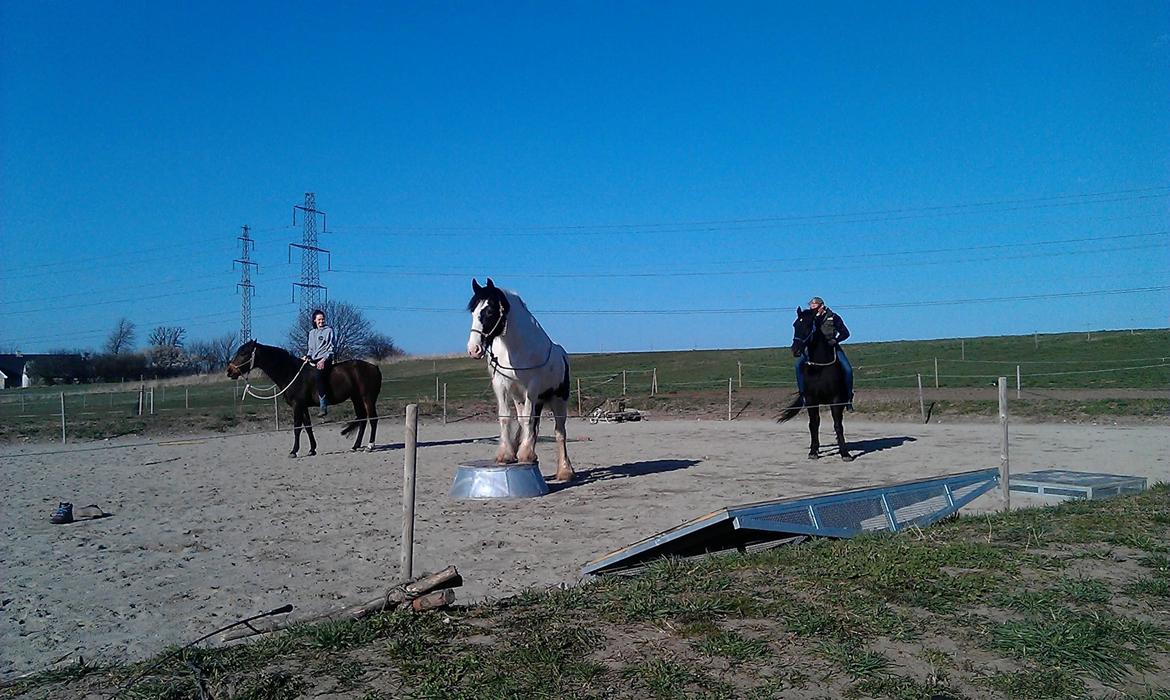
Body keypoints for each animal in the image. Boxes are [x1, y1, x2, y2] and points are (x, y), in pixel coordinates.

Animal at [222, 341, 379, 461]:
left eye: (244, 353)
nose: (229, 371)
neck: (291, 373)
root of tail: (374, 367)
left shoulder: (297, 405)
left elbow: (297, 428)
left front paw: (293, 451)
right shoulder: (302, 406)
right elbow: (307, 426)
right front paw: (312, 449)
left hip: (367, 398)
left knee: (373, 419)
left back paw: (370, 446)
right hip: (356, 398)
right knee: (362, 419)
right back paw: (355, 446)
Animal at [465, 278, 575, 482]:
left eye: (489, 311)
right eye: (473, 311)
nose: (473, 349)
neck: (515, 350)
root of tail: (563, 355)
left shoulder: (531, 388)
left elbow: (527, 420)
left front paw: (525, 455)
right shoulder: (502, 386)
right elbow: (507, 418)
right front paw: (507, 455)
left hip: (558, 401)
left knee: (559, 432)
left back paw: (565, 470)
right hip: (525, 400)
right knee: (532, 427)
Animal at [781, 309, 856, 463]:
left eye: (809, 325)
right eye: (795, 325)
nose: (795, 350)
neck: (820, 368)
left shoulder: (836, 400)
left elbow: (838, 425)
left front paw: (845, 453)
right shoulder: (811, 400)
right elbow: (813, 424)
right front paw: (813, 451)